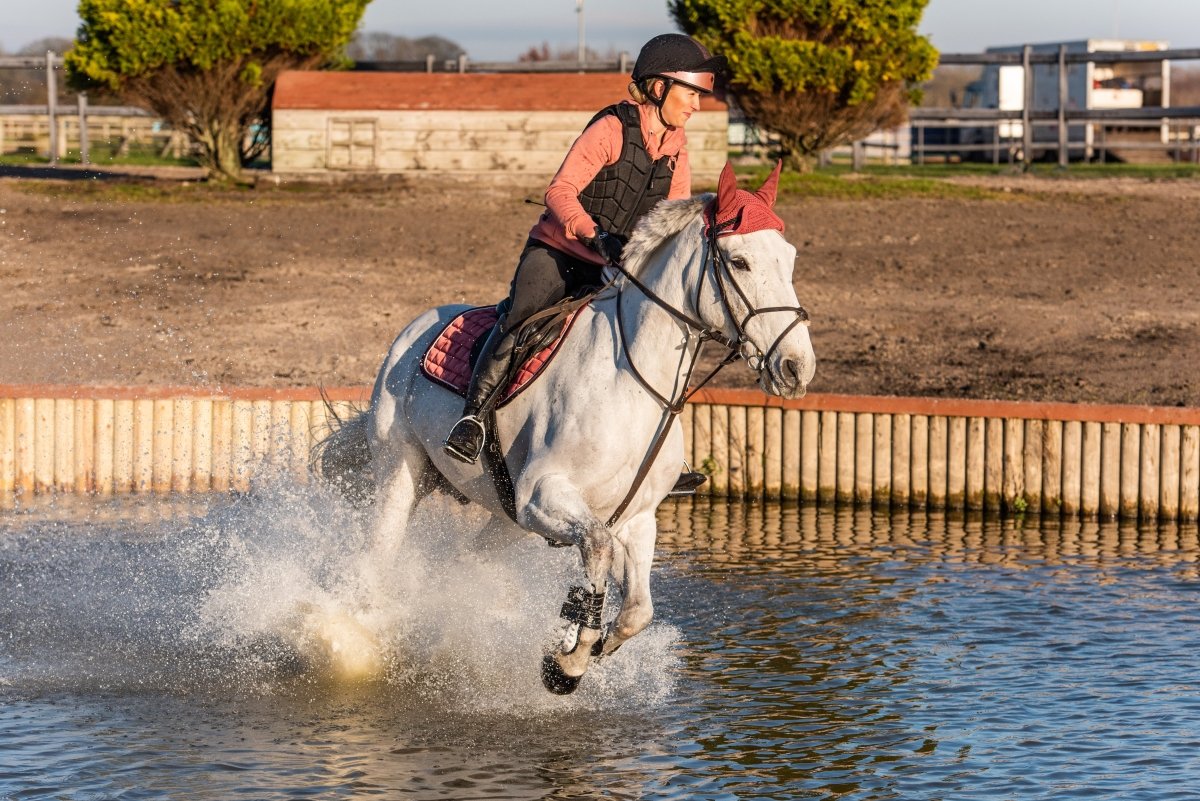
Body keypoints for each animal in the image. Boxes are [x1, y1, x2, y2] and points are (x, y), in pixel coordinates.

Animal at [319, 163, 816, 695]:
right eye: (739, 262)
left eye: (789, 260)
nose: (796, 368)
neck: (634, 382)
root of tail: (413, 331)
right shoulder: (543, 495)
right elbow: (597, 548)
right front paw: (570, 660)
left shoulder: (637, 518)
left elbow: (637, 609)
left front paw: (585, 645)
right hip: (402, 471)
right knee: (379, 556)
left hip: (506, 521)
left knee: (461, 567)